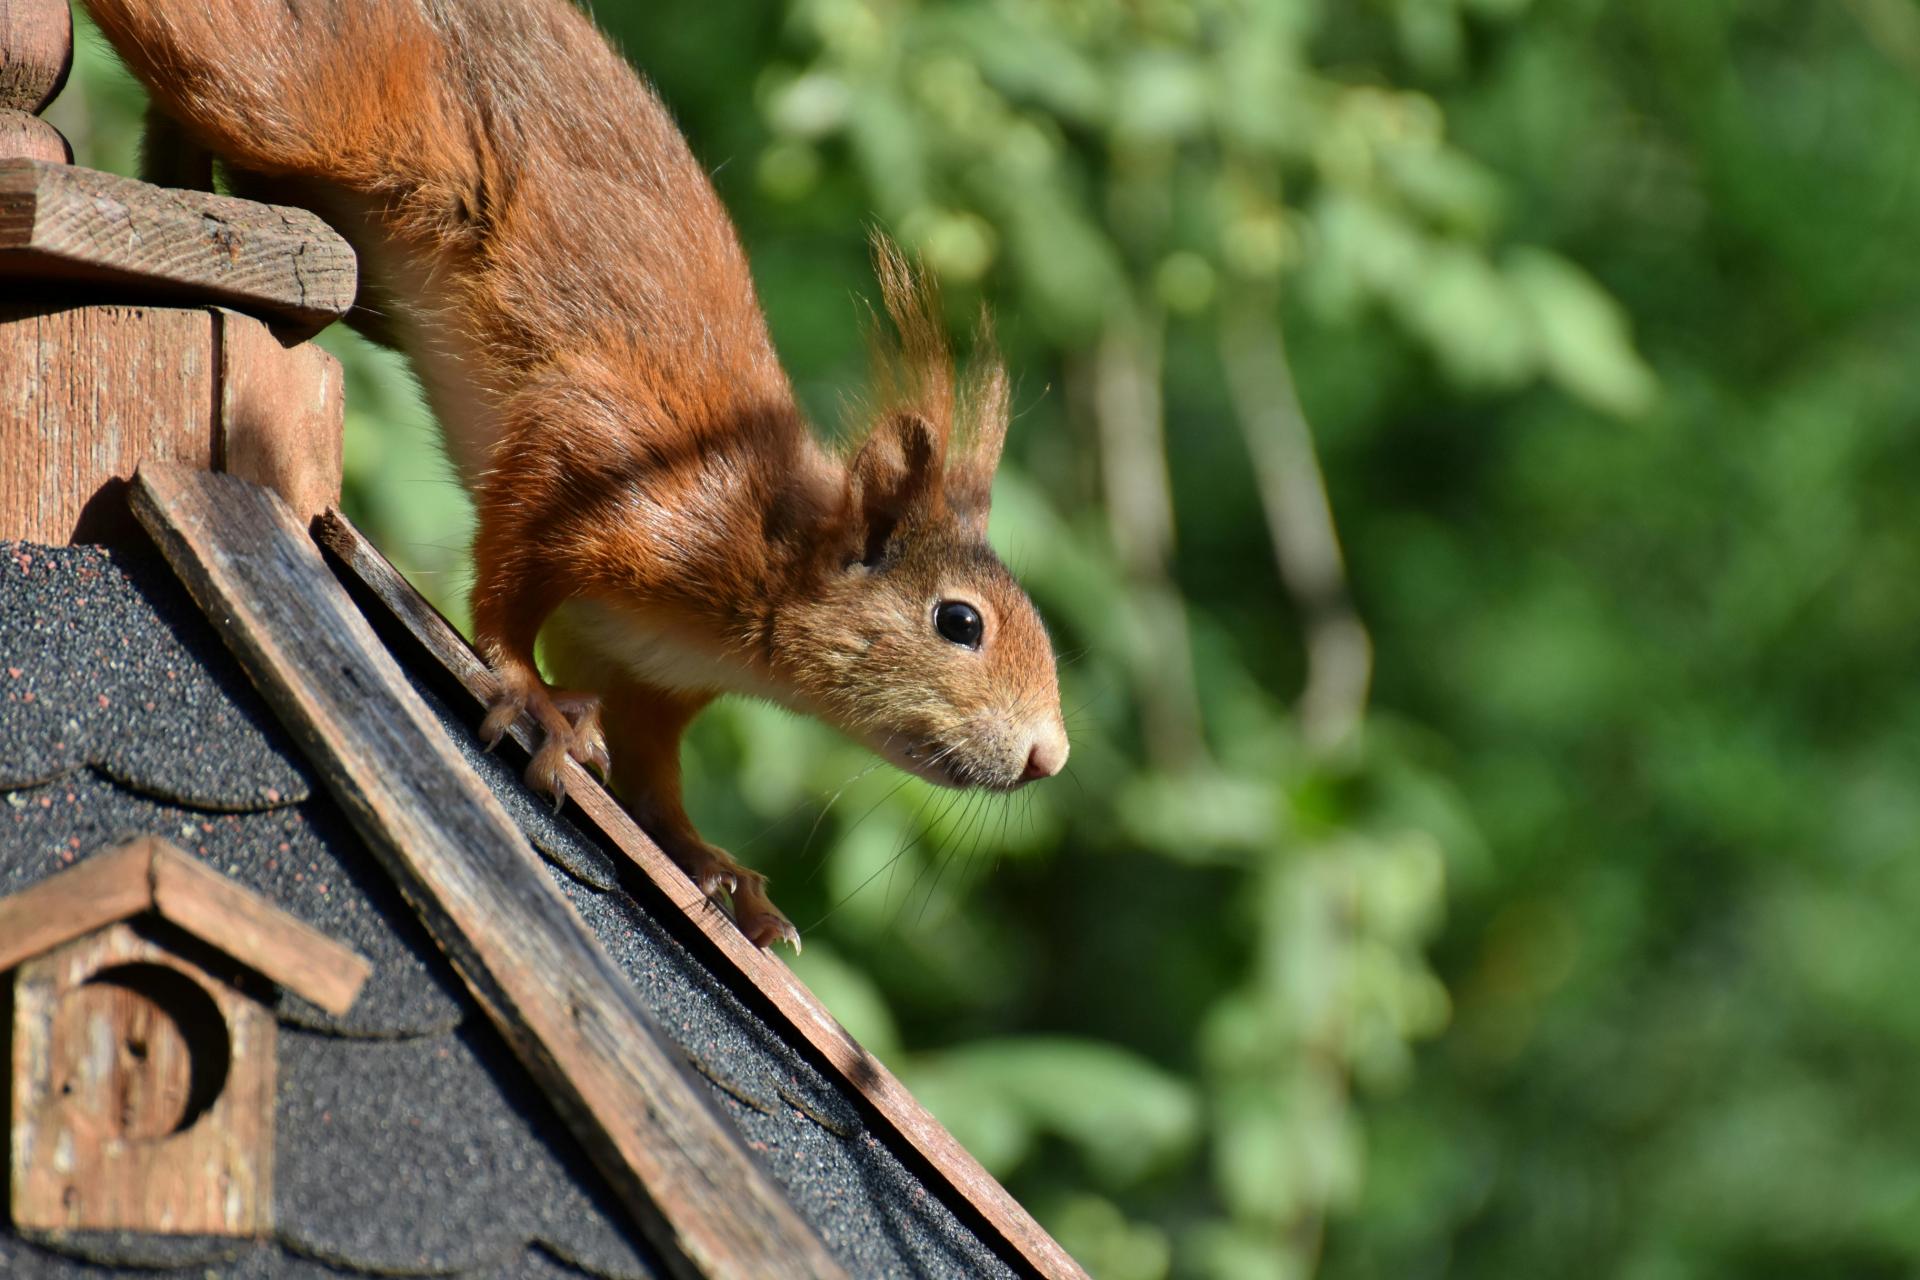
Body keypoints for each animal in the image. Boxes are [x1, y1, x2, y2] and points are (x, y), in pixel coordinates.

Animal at [82, 0, 1075, 951]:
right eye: (959, 622)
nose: (1050, 759)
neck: (761, 546)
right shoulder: (606, 468)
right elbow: (514, 569)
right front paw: (531, 697)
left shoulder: (645, 671)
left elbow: (652, 779)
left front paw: (718, 871)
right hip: (296, 95)